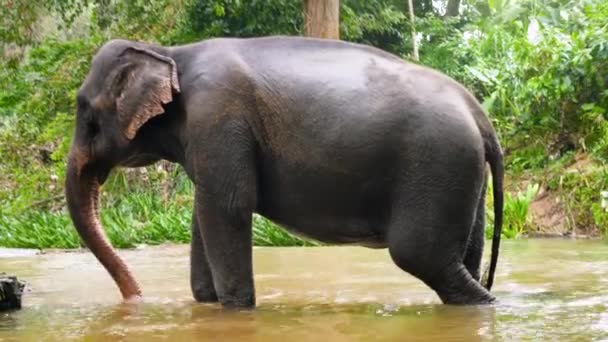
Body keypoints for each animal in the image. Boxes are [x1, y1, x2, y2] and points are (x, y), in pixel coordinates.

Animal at [65, 36, 504, 308]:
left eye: (87, 118)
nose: (136, 298)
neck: (169, 52)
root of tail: (479, 113)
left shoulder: (218, 116)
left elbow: (226, 208)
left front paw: (236, 309)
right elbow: (203, 214)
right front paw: (205, 303)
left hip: (437, 163)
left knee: (420, 255)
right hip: (463, 173)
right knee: (464, 256)